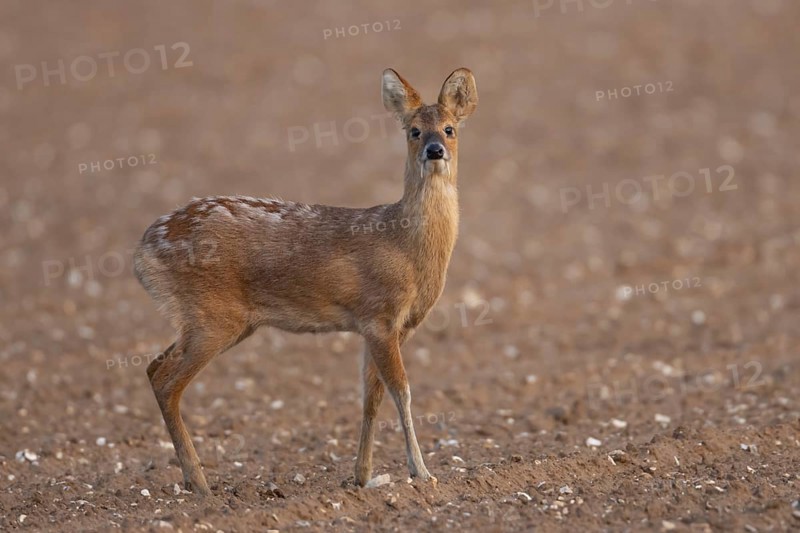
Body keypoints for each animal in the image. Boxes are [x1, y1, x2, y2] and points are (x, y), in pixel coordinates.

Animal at [133, 68, 478, 496]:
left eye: (450, 128)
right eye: (414, 130)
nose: (434, 151)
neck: (408, 247)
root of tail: (143, 252)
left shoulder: (387, 327)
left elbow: (372, 396)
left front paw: (362, 475)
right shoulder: (380, 318)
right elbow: (402, 391)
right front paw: (422, 472)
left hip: (212, 320)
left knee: (153, 367)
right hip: (213, 316)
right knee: (167, 381)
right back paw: (200, 483)